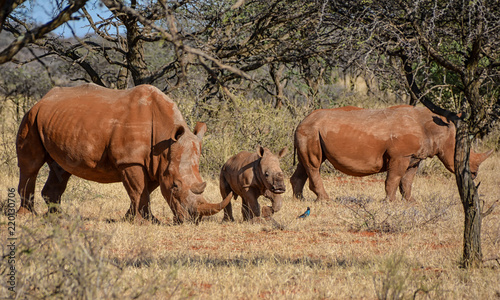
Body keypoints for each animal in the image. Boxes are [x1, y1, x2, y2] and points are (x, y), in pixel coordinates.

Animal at [16, 83, 231, 224]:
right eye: (175, 186)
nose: (193, 220)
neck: (165, 138)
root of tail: (43, 99)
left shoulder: (155, 163)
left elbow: (144, 190)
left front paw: (133, 218)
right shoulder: (130, 160)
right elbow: (138, 190)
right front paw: (145, 222)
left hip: (59, 121)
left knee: (61, 169)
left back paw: (57, 217)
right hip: (31, 117)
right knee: (31, 166)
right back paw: (27, 216)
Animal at [292, 105, 490, 202]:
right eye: (463, 154)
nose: (474, 174)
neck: (435, 129)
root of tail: (301, 121)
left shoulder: (413, 157)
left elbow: (407, 181)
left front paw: (411, 202)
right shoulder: (400, 155)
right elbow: (393, 178)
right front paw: (389, 202)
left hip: (310, 131)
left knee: (305, 164)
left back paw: (299, 200)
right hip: (310, 131)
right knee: (314, 165)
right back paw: (325, 200)